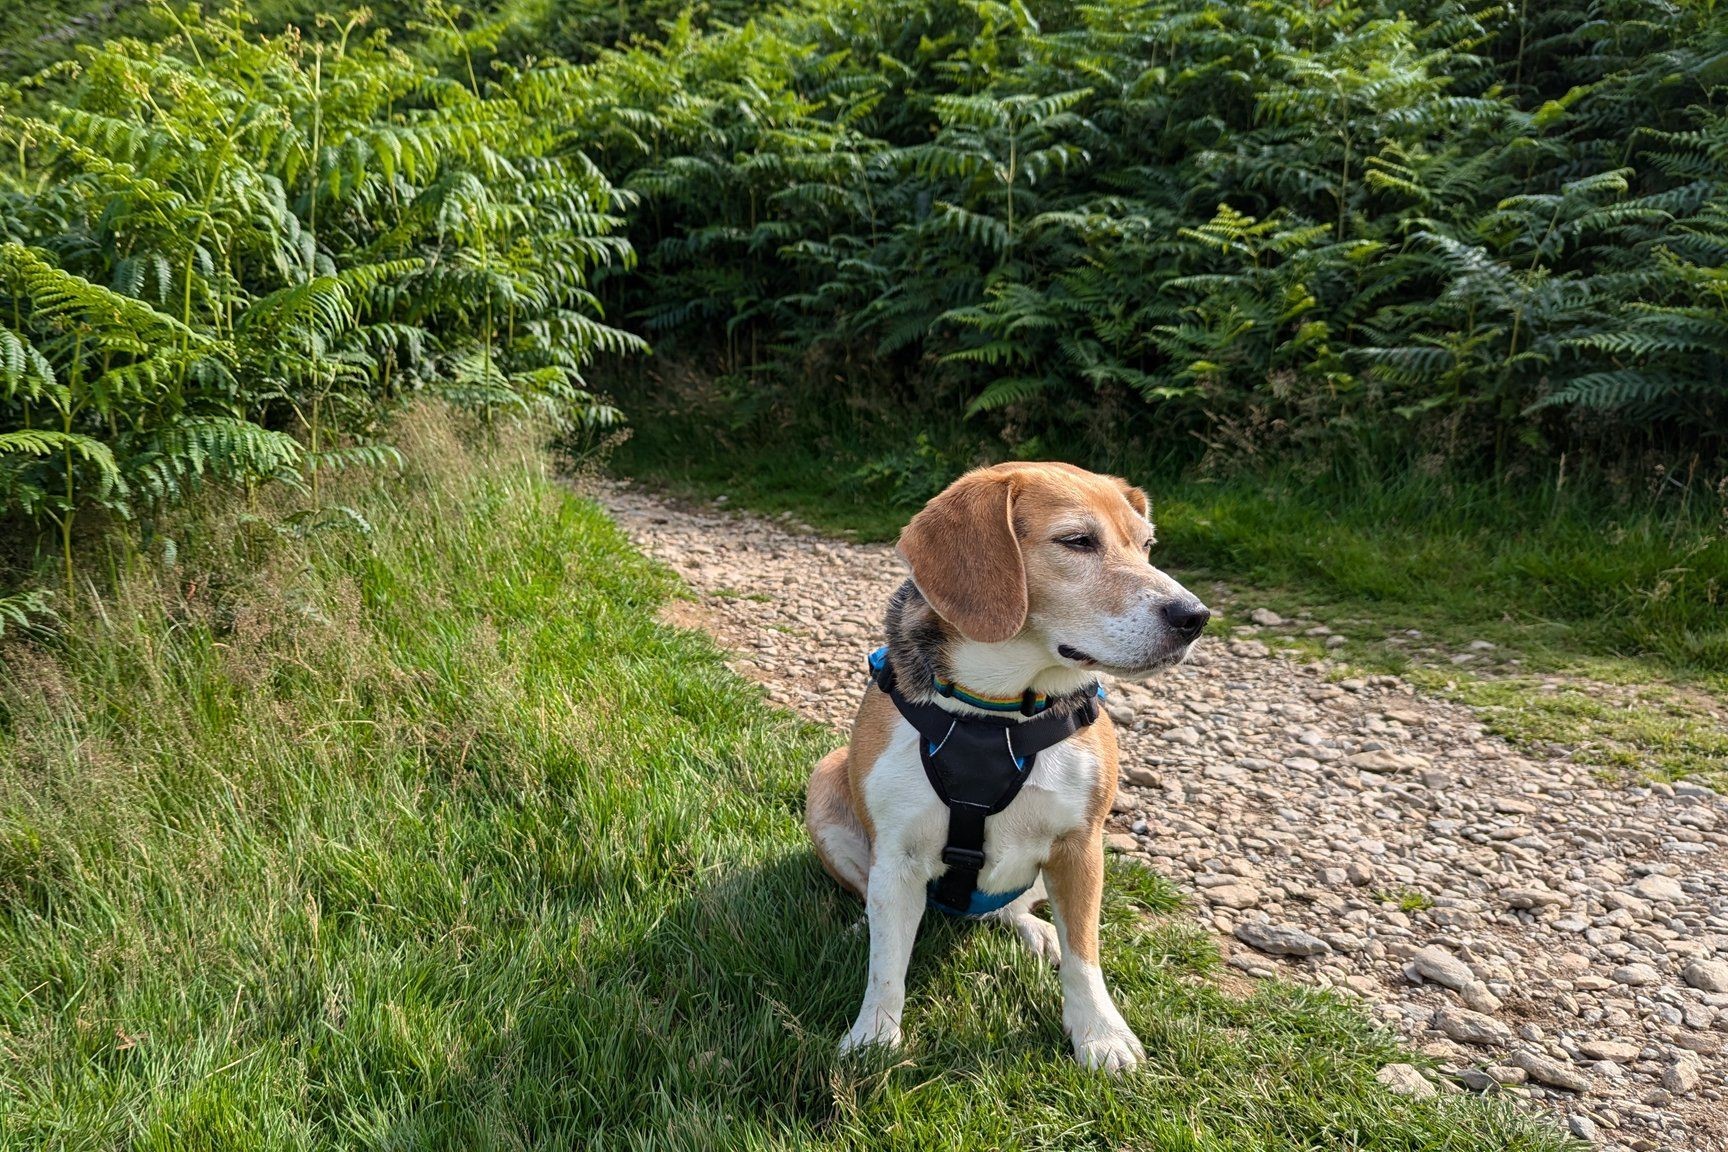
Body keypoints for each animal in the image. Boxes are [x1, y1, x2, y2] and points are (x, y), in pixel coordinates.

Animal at [801, 459, 1209, 1070]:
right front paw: (873, 1038)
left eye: (1147, 546)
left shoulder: (1080, 846)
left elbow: (1084, 958)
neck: (997, 711)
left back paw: (1033, 930)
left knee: (1007, 910)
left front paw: (1101, 1034)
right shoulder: (896, 855)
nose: (1195, 616)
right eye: (1077, 541)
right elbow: (886, 969)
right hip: (826, 781)